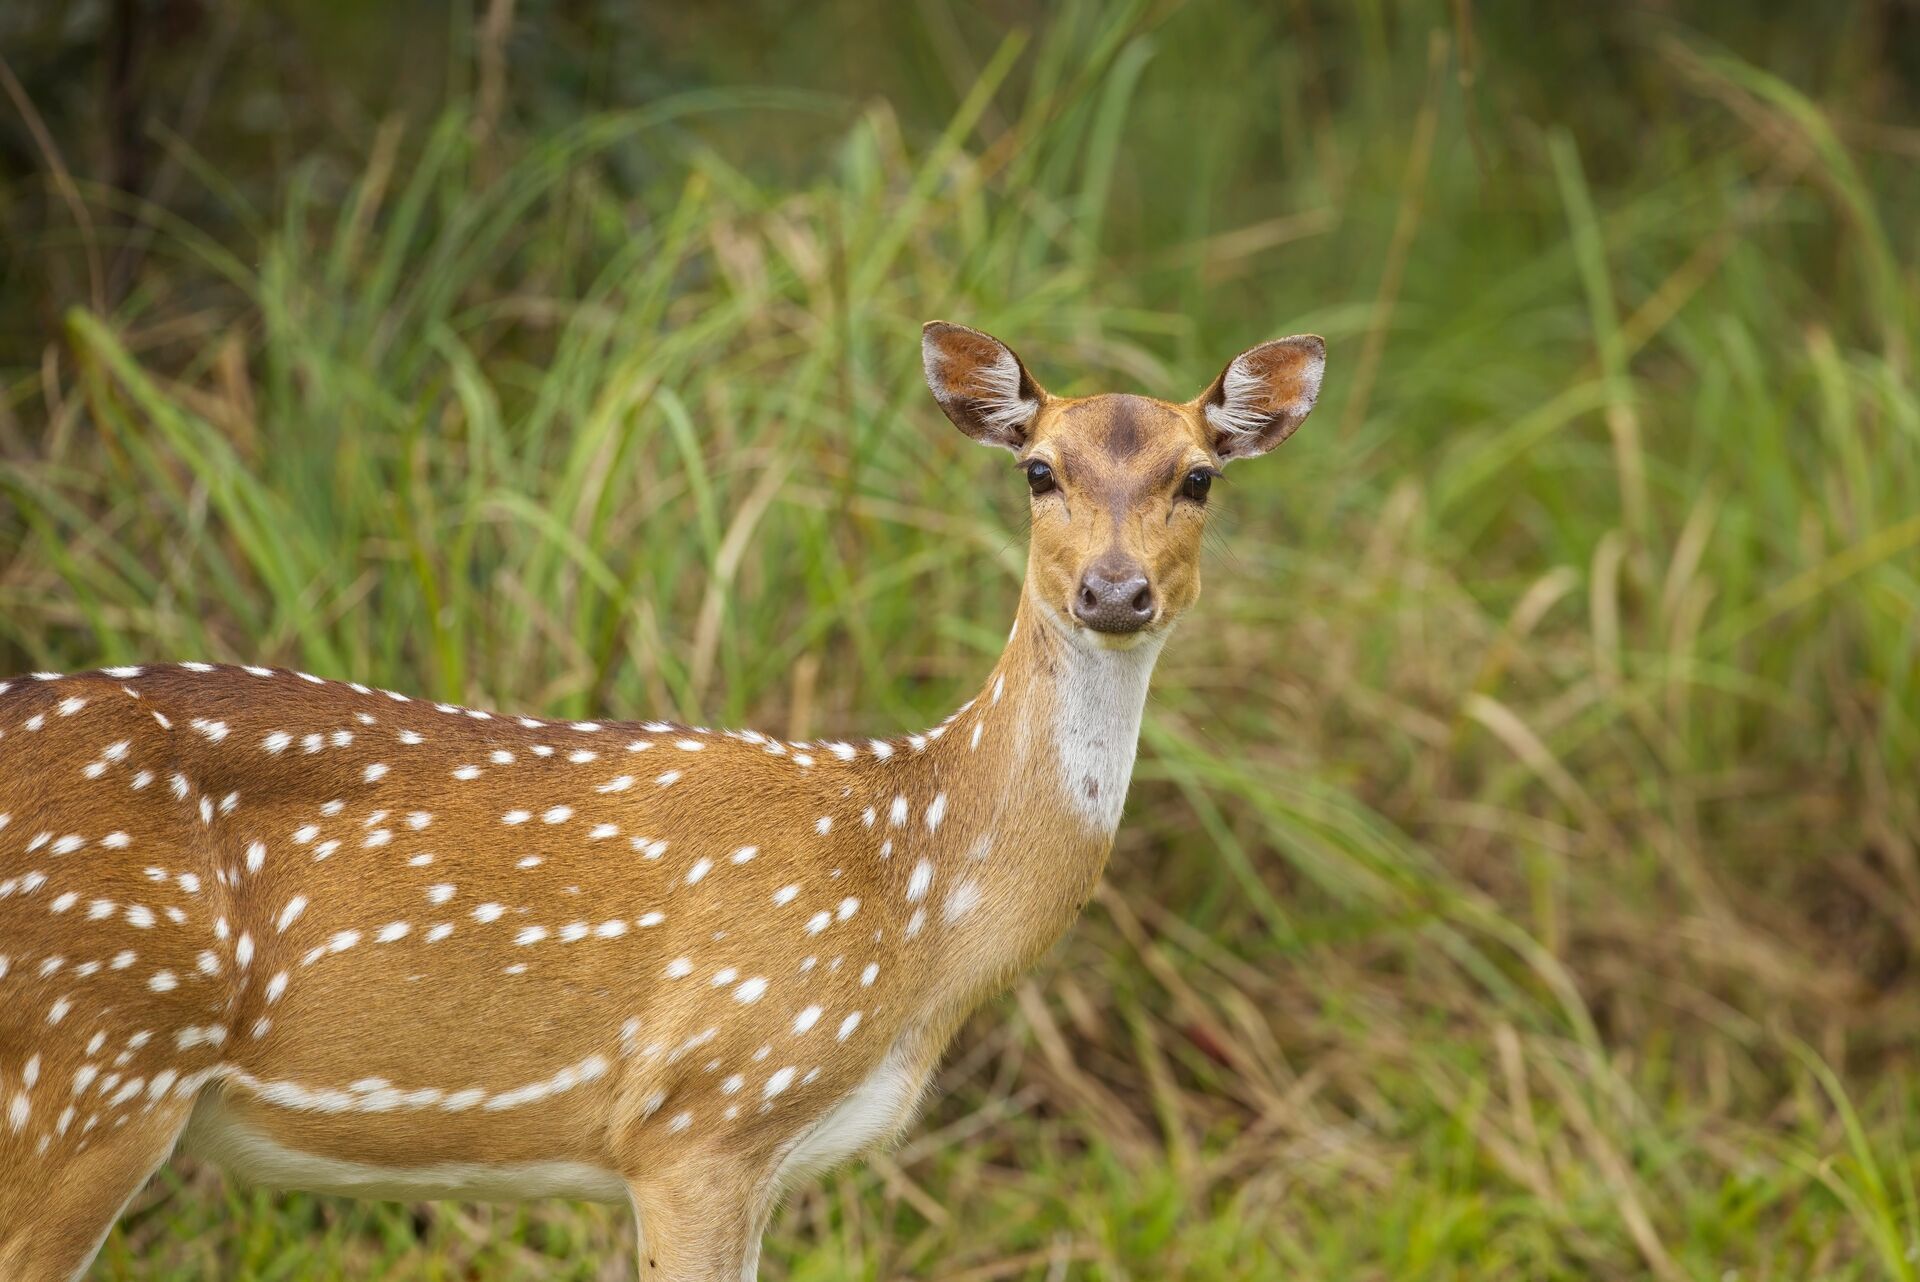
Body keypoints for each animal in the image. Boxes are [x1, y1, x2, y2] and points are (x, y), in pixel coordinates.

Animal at [0, 320, 1320, 1274]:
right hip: (88, 1060)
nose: (1114, 590)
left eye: (1199, 476)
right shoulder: (704, 1111)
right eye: (1038, 470)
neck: (915, 906)